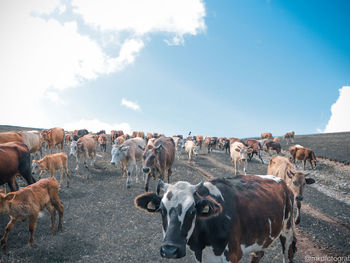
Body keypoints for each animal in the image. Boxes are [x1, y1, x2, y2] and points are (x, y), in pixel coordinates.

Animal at [134, 175, 296, 263]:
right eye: (161, 209)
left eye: (192, 210)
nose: (169, 250)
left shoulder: (232, 255)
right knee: (258, 254)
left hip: (287, 229)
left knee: (288, 251)